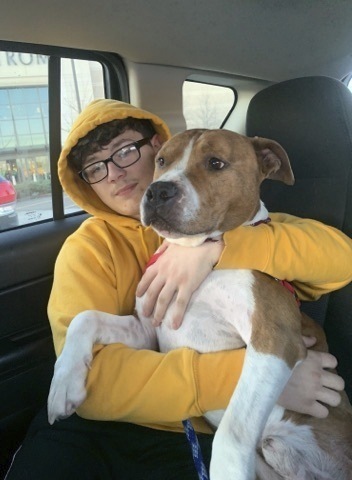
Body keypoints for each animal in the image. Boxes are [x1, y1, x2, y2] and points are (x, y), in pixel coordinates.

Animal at [47, 130, 352, 480]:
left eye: (215, 163)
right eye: (161, 160)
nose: (157, 191)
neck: (195, 259)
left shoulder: (276, 339)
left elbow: (232, 432)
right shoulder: (147, 328)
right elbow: (85, 318)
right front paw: (64, 383)